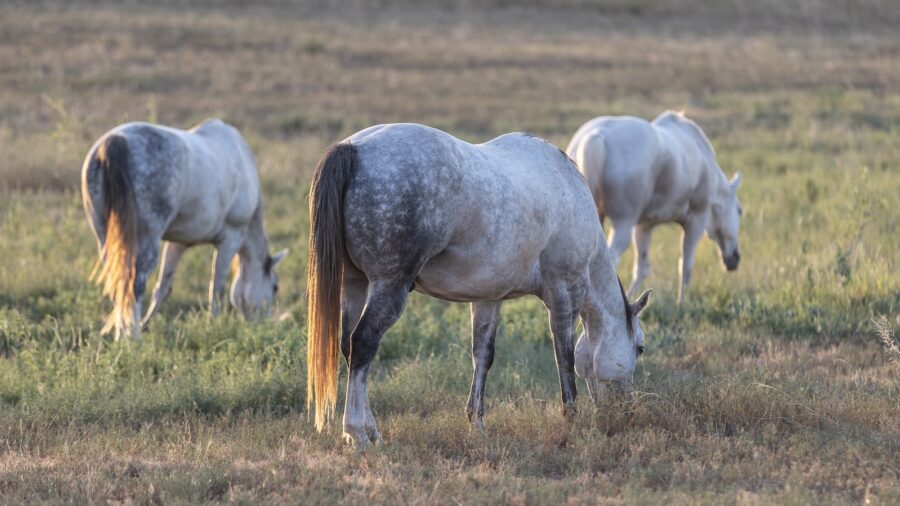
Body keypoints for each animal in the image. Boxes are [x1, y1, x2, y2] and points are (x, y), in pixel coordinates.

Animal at [81, 118, 287, 340]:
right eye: (275, 287)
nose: (263, 325)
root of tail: (114, 141)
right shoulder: (230, 240)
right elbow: (217, 288)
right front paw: (212, 324)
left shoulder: (177, 243)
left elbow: (163, 288)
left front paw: (146, 324)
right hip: (145, 241)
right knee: (134, 286)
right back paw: (132, 338)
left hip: (104, 237)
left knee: (117, 284)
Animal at [305, 123, 652, 450]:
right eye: (640, 348)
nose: (626, 412)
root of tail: (353, 148)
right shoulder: (564, 295)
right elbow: (564, 357)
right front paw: (571, 421)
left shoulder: (488, 298)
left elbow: (483, 356)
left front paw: (477, 424)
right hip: (389, 286)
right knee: (363, 344)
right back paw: (357, 434)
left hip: (355, 285)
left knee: (350, 348)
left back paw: (371, 432)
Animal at [566, 111, 742, 302]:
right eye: (739, 211)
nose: (735, 259)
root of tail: (594, 137)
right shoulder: (696, 220)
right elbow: (686, 265)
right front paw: (682, 302)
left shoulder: (644, 226)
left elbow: (642, 268)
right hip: (623, 222)